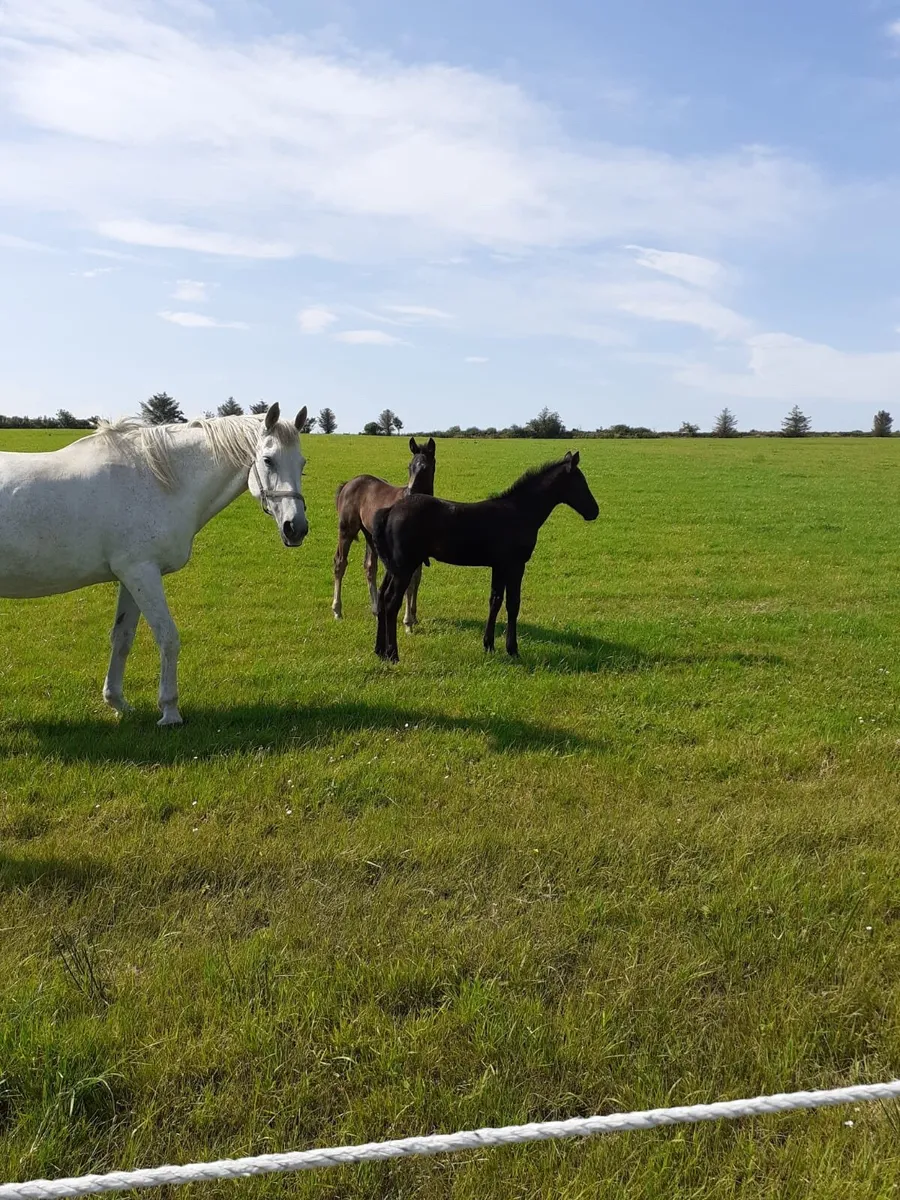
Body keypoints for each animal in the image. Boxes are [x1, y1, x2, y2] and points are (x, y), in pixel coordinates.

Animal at [0, 404, 309, 725]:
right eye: (268, 460)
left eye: (302, 463)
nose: (296, 528)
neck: (156, 481)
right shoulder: (142, 573)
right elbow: (168, 637)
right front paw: (170, 711)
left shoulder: (130, 577)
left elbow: (122, 638)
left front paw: (117, 702)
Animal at [332, 436, 436, 629]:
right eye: (410, 466)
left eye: (425, 467)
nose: (410, 492)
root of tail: (348, 484)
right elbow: (409, 581)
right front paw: (407, 622)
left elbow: (416, 578)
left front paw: (413, 617)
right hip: (346, 530)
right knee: (340, 563)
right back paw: (337, 610)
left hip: (369, 534)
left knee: (369, 567)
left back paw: (375, 610)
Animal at [371, 450, 598, 663]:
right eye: (580, 482)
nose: (594, 511)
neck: (520, 512)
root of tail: (390, 510)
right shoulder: (515, 565)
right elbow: (513, 604)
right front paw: (512, 650)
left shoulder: (499, 566)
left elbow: (495, 601)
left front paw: (489, 645)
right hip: (404, 567)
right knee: (391, 602)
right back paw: (393, 655)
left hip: (394, 567)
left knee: (382, 597)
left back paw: (380, 651)